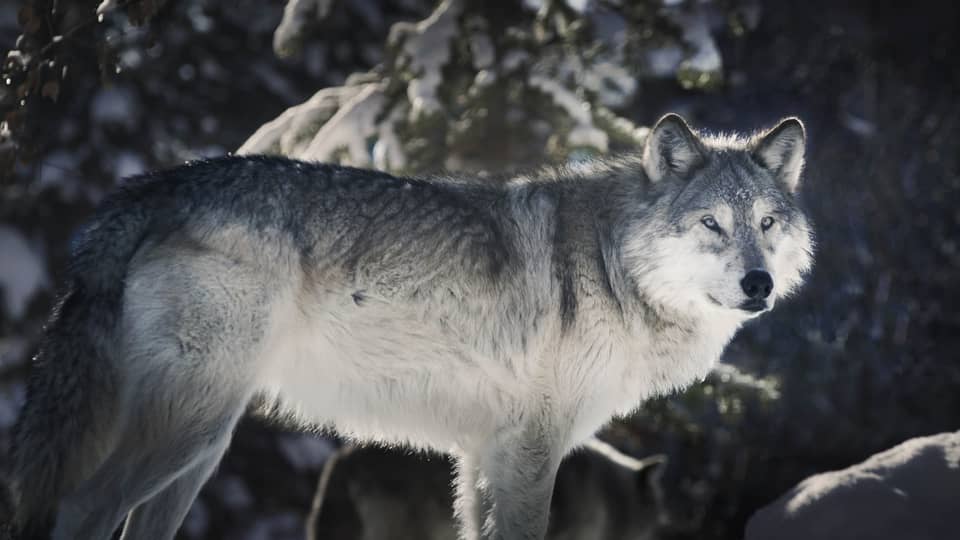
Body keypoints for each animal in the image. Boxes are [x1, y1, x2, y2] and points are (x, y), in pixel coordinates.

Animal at [3, 114, 812, 540]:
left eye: (766, 224)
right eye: (711, 224)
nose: (759, 285)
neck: (613, 266)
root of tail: (152, 187)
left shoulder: (484, 454)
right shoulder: (533, 450)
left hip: (199, 448)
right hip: (187, 434)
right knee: (77, 508)